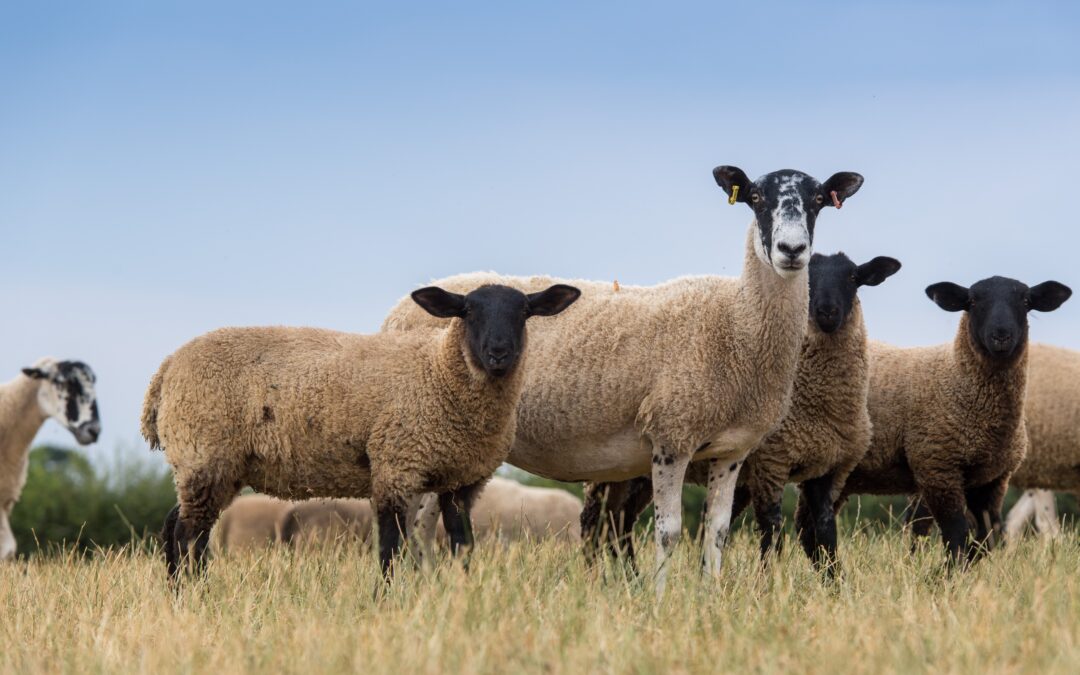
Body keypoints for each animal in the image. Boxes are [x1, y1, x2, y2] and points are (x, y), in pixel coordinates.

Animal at [149, 280, 583, 574]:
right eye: (468, 311)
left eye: (524, 312)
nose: (498, 353)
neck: (438, 372)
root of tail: (166, 368)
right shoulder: (395, 465)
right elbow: (389, 548)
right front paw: (386, 602)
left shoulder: (461, 480)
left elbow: (463, 545)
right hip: (205, 453)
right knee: (187, 533)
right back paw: (195, 596)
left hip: (212, 465)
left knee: (177, 526)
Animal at [384, 166, 864, 591]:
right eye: (757, 197)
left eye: (818, 200)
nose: (791, 249)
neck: (736, 322)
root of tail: (397, 311)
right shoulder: (671, 435)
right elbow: (669, 531)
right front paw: (660, 601)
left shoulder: (731, 451)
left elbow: (717, 531)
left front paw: (710, 598)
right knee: (414, 519)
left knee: (424, 522)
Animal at [583, 250, 902, 570]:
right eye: (805, 277)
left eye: (853, 277)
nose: (826, 312)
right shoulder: (771, 465)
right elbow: (772, 533)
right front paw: (768, 580)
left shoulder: (825, 471)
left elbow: (825, 536)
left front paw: (834, 581)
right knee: (594, 521)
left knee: (617, 521)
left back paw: (628, 575)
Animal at [842, 275, 1071, 561]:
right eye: (971, 301)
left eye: (1026, 301)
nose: (1001, 336)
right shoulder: (939, 468)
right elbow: (957, 533)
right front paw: (946, 570)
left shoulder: (992, 479)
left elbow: (988, 535)